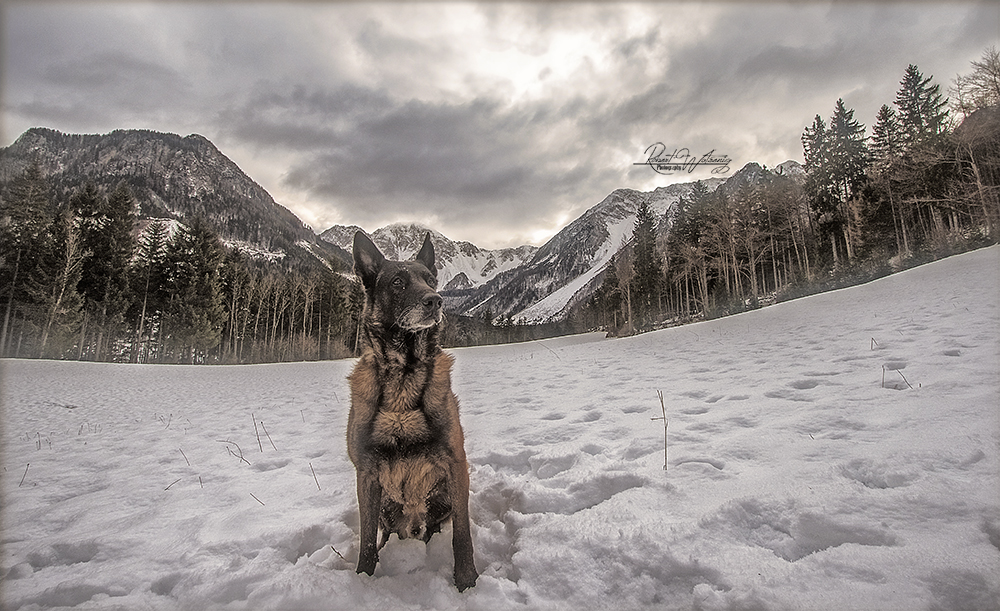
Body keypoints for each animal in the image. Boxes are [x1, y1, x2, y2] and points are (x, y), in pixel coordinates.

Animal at [348, 231, 480, 592]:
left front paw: (467, 581)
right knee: (382, 534)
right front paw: (363, 579)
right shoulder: (366, 474)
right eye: (397, 282)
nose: (435, 301)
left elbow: (462, 536)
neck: (403, 378)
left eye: (431, 280)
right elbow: (366, 541)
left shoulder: (455, 463)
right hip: (385, 505)